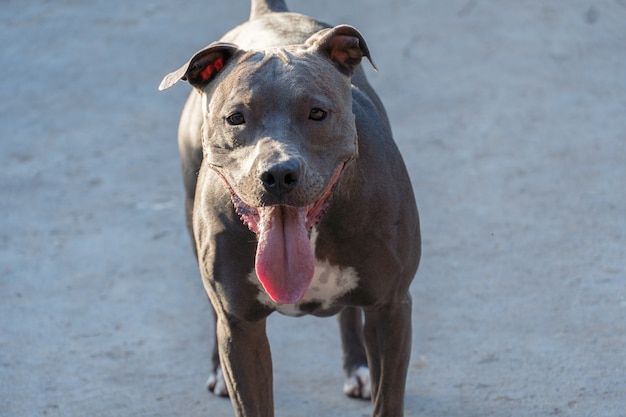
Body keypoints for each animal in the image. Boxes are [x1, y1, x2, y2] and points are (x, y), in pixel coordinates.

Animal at [158, 1, 420, 414]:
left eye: (317, 113)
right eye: (236, 118)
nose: (279, 174)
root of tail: (270, 13)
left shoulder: (391, 308)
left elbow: (387, 400)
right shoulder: (241, 327)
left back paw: (358, 366)